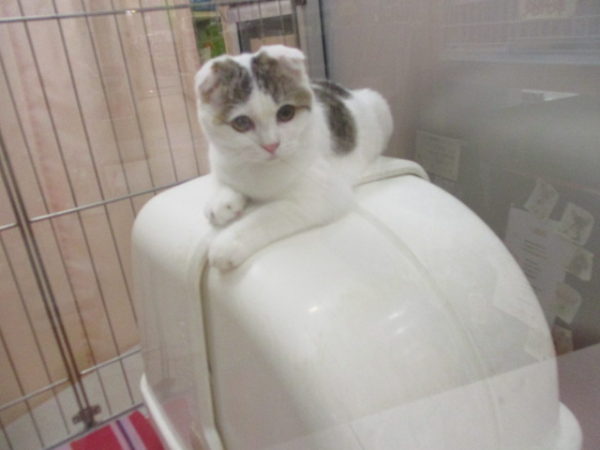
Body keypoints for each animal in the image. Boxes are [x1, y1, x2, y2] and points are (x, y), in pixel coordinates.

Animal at [195, 45, 393, 270]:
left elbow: (268, 215)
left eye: (286, 113)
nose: (271, 145)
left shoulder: (323, 197)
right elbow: (222, 181)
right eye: (241, 123)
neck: (257, 168)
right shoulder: (220, 159)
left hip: (381, 108)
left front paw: (229, 241)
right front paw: (221, 202)